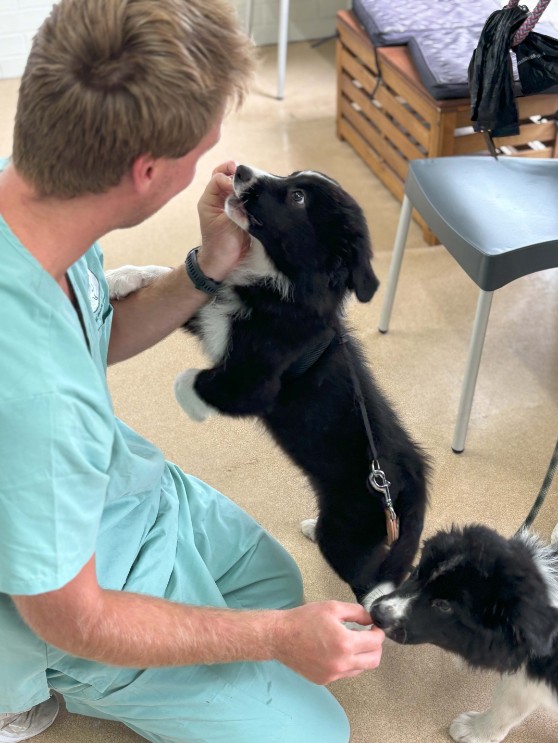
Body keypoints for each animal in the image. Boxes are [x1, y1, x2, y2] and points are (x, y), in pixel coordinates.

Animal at [110, 166, 434, 608]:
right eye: (293, 178)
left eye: (297, 197)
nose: (241, 171)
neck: (277, 279)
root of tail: (415, 476)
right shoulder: (213, 311)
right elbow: (173, 277)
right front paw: (118, 278)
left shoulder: (254, 382)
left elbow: (197, 381)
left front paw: (192, 406)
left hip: (347, 533)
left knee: (374, 585)